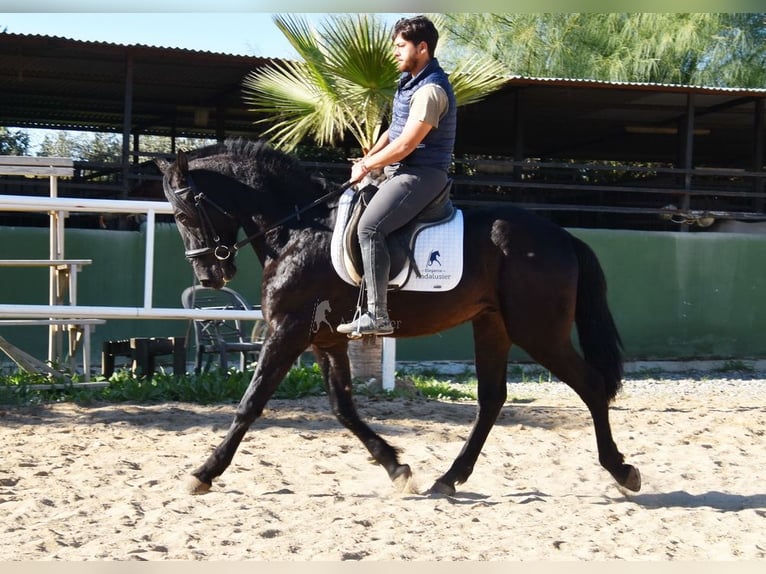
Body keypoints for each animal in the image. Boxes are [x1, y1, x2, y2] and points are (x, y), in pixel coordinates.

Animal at [162, 141, 640, 500]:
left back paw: (621, 470)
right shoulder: (325, 340)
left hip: (538, 331)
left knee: (591, 385)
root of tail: (563, 237)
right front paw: (396, 466)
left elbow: (250, 403)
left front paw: (204, 472)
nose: (209, 276)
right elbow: (343, 408)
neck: (299, 231)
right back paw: (449, 479)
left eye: (184, 214)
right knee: (492, 399)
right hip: (493, 326)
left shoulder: (288, 331)